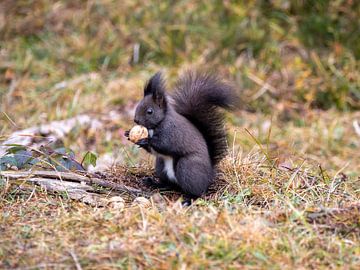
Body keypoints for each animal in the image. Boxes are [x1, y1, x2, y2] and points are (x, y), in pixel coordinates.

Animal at [125, 70, 238, 199]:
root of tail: (210, 175)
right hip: (161, 165)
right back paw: (155, 183)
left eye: (150, 111)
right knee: (169, 185)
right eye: (138, 106)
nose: (136, 120)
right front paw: (128, 134)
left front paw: (146, 140)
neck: (158, 123)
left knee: (197, 191)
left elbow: (165, 144)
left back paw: (189, 198)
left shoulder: (172, 132)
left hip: (187, 166)